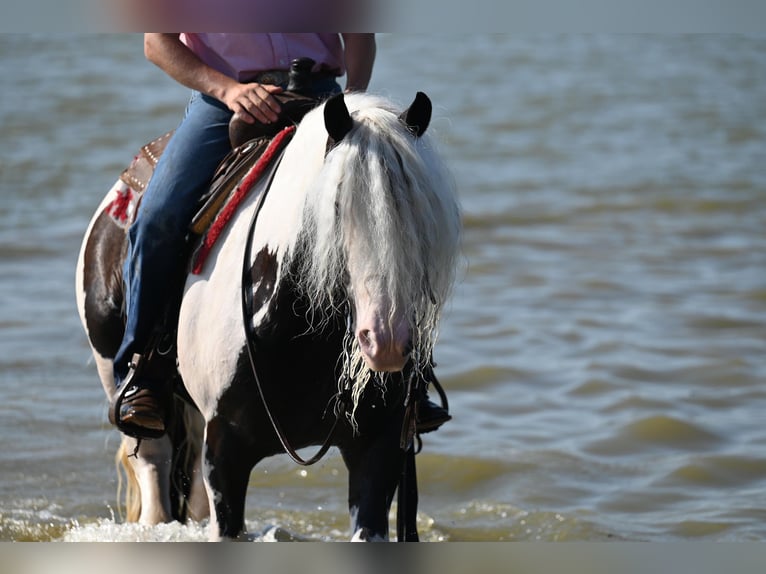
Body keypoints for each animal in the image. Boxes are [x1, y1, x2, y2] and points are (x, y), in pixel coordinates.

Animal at [76, 92, 462, 544]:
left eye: (420, 207)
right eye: (336, 204)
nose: (385, 341)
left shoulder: (378, 448)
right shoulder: (224, 449)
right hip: (122, 384)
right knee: (154, 470)